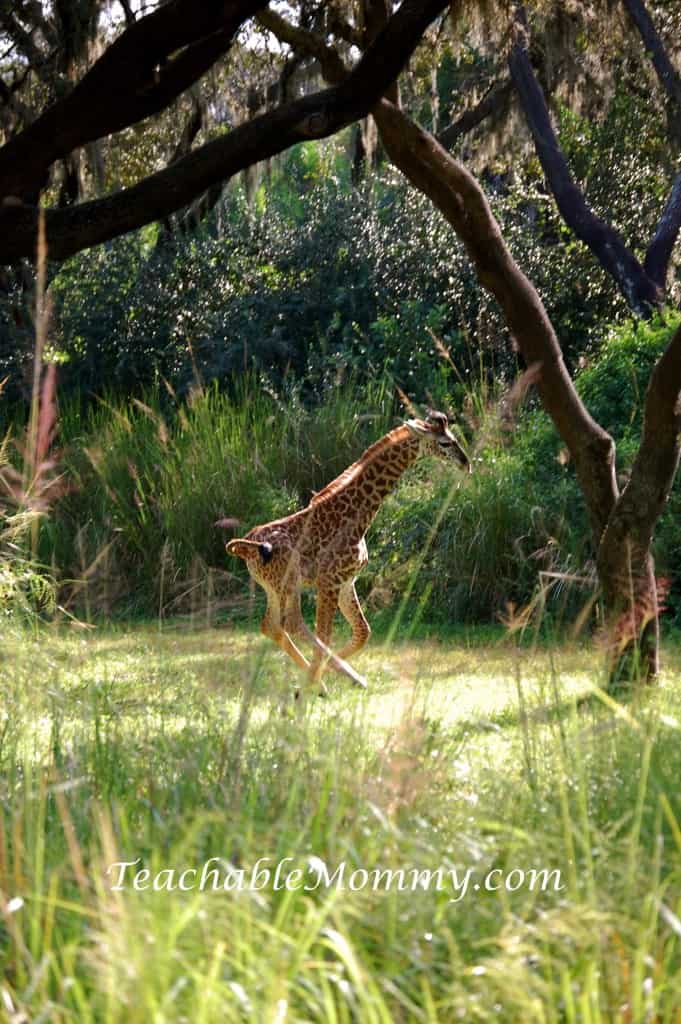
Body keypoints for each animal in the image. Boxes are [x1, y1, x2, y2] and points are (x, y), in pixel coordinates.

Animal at [225, 411, 471, 692]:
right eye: (444, 443)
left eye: (453, 438)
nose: (466, 463)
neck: (358, 516)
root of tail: (247, 547)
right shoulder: (329, 581)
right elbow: (326, 634)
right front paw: (318, 678)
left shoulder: (346, 581)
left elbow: (363, 632)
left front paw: (331, 674)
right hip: (289, 582)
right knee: (293, 623)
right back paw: (321, 684)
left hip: (273, 587)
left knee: (271, 626)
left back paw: (327, 681)